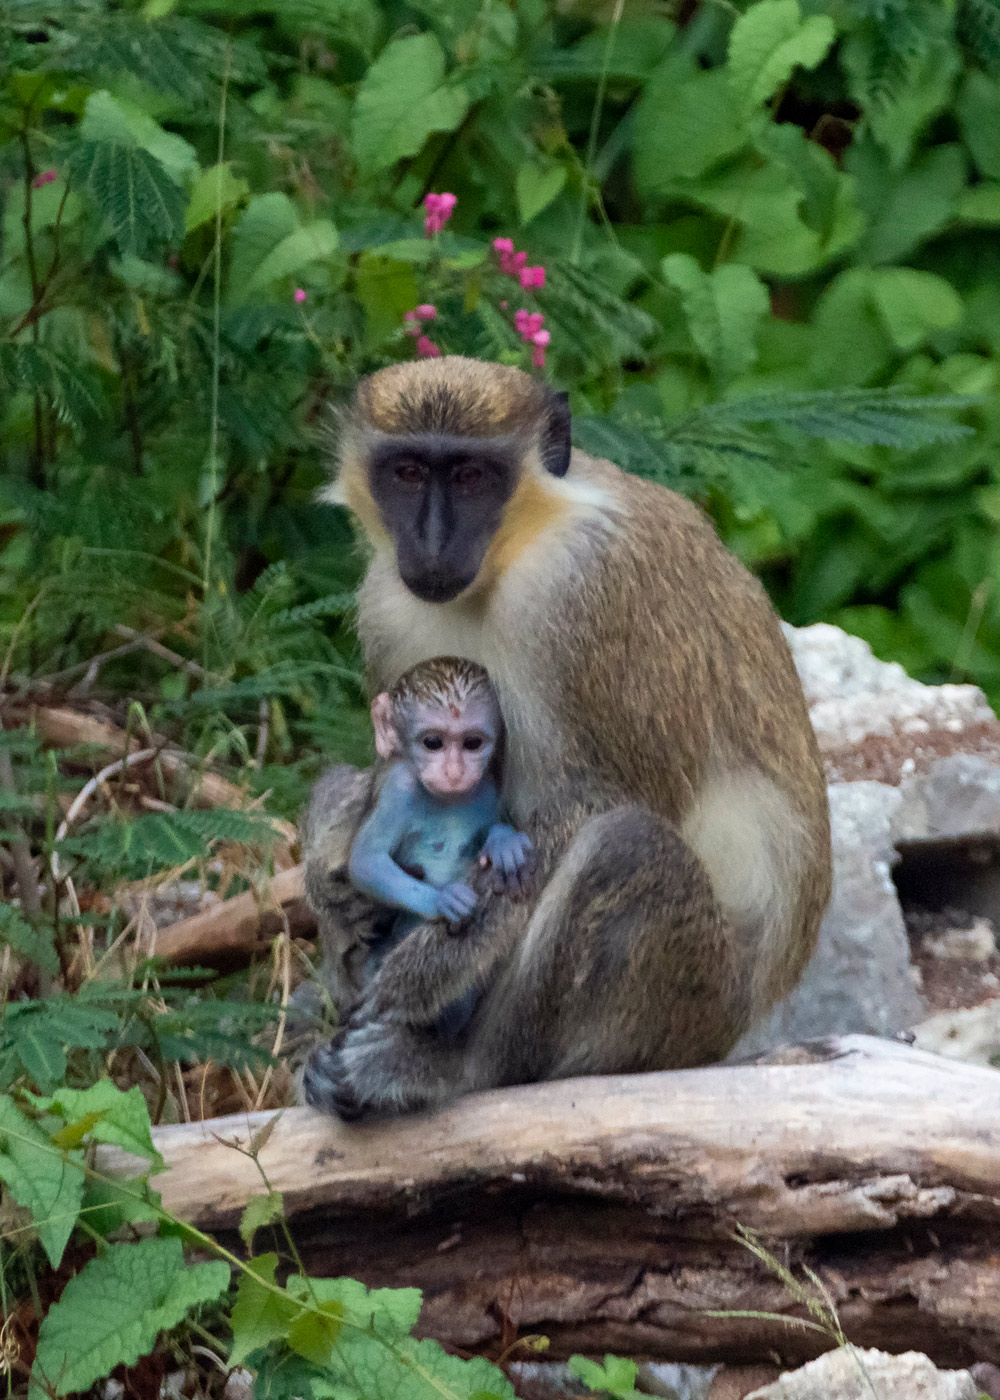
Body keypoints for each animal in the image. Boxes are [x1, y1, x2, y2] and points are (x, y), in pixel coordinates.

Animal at [301, 354, 832, 1120]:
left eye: (472, 476)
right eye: (407, 471)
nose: (431, 543)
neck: (515, 548)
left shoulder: (584, 587)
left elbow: (598, 803)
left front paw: (420, 973)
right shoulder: (385, 604)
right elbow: (383, 774)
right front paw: (330, 873)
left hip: (688, 1006)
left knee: (625, 846)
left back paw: (456, 1067)